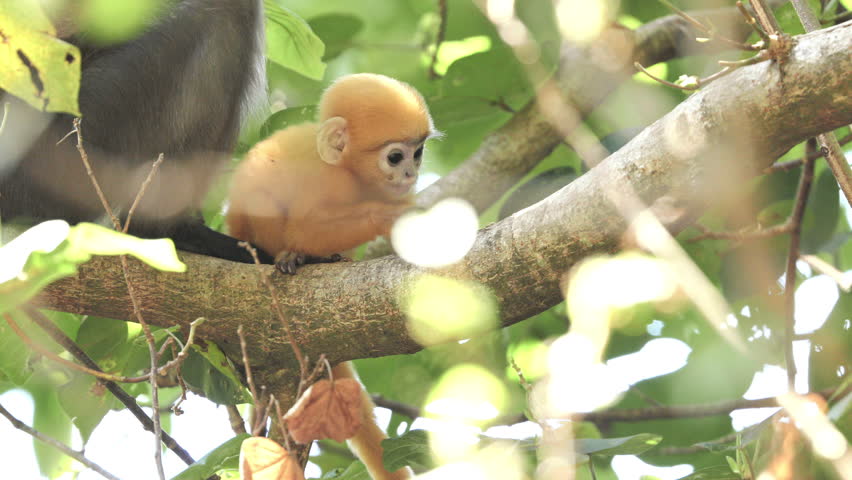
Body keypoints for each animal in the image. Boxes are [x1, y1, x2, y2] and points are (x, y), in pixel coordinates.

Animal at [227, 73, 438, 480]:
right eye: (395, 156)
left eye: (417, 152)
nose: (410, 173)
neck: (351, 173)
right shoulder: (324, 179)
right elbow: (305, 228)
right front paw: (386, 216)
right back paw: (296, 257)